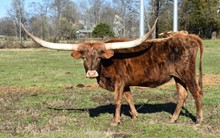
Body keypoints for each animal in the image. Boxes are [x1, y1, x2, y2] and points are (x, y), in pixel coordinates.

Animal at [21, 19, 204, 126]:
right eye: (84, 57)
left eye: (99, 57)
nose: (91, 73)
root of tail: (187, 36)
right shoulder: (126, 83)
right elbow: (129, 97)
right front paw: (135, 116)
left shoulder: (119, 81)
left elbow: (117, 100)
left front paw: (115, 121)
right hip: (177, 76)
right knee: (182, 94)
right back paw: (173, 119)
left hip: (187, 73)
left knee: (197, 92)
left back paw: (198, 120)